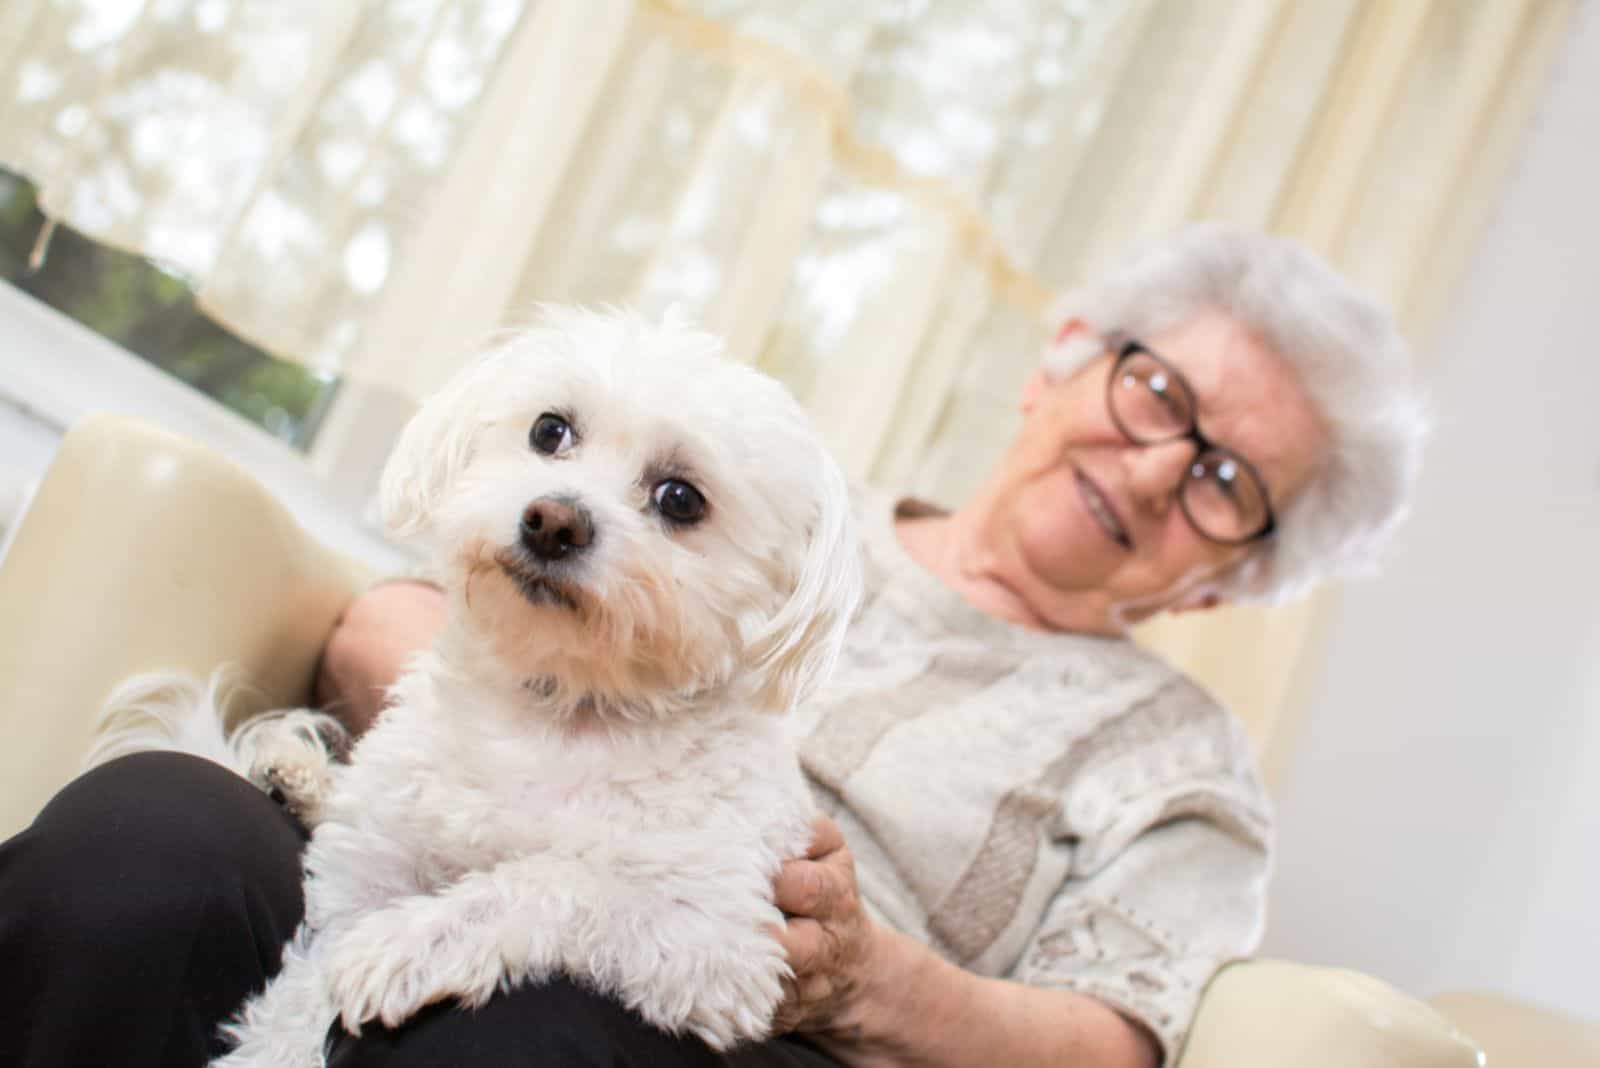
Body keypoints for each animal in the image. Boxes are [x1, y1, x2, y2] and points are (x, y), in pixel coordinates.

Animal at [90, 303, 864, 1061]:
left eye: (680, 499)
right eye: (550, 429)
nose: (553, 521)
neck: (556, 709)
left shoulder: (720, 947)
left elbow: (555, 879)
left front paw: (411, 943)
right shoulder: (363, 879)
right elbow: (297, 1003)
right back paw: (299, 776)